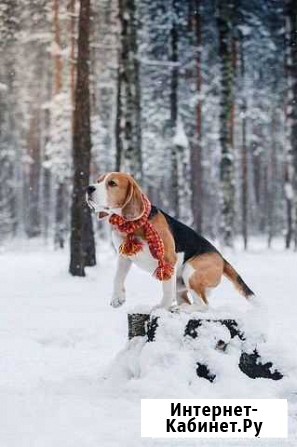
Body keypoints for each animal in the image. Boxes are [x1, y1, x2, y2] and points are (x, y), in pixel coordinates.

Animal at [86, 173, 253, 314]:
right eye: (99, 180)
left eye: (112, 183)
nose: (89, 188)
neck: (132, 225)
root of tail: (222, 259)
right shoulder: (124, 256)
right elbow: (117, 277)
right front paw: (117, 298)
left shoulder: (167, 260)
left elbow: (166, 291)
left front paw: (161, 308)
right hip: (181, 285)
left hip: (191, 271)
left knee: (204, 305)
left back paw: (181, 309)